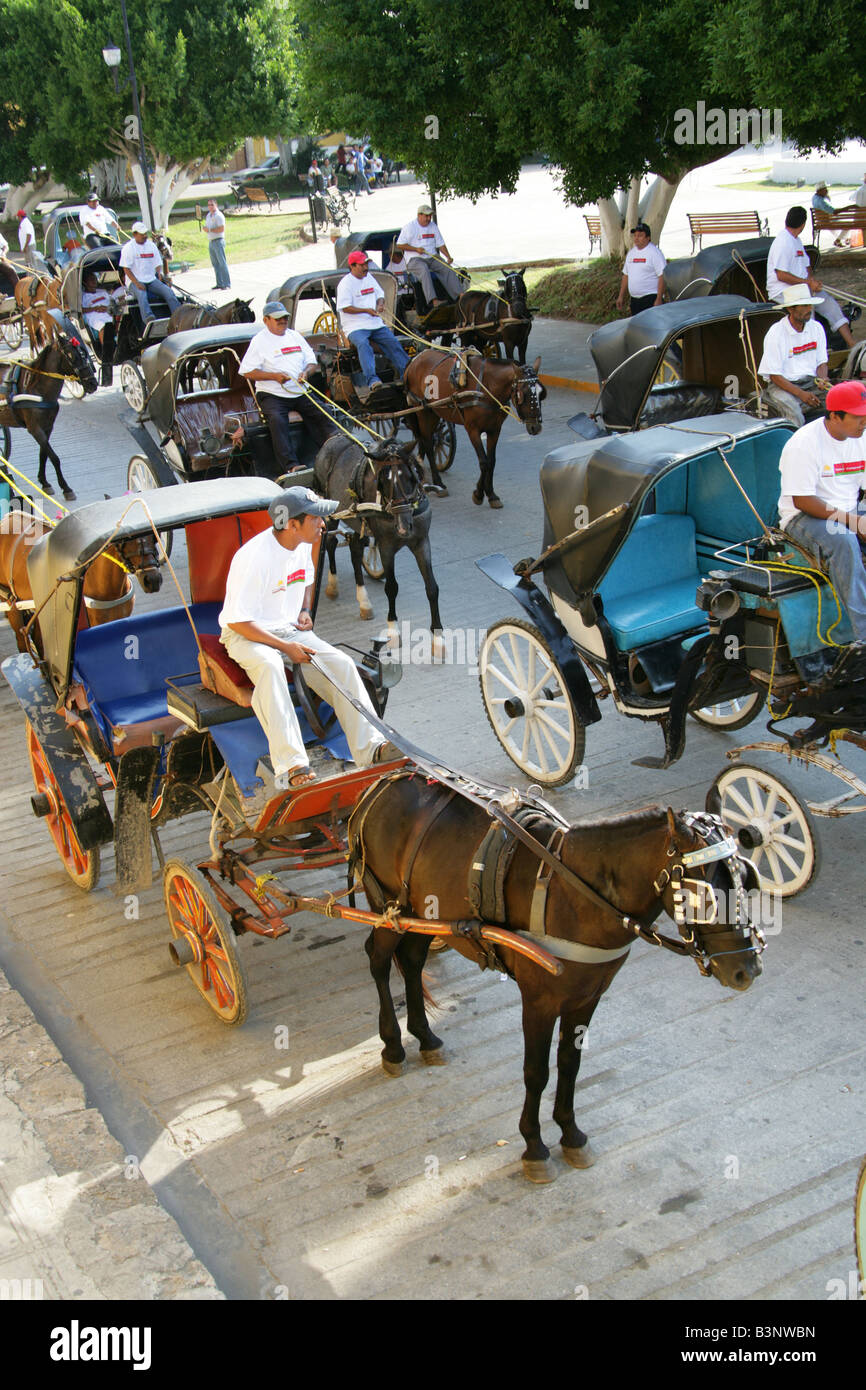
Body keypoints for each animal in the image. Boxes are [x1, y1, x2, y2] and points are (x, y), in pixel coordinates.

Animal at [0, 312, 97, 503]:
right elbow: (54, 456)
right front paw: (66, 488)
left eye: (84, 352)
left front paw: (44, 482)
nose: (92, 383)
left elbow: (43, 454)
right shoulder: (34, 428)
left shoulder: (47, 426)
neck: (35, 387)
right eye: (71, 355)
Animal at [0, 508, 164, 653]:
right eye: (123, 540)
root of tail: (7, 518)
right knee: (21, 639)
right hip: (11, 603)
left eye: (154, 534)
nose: (152, 579)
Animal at [312, 436, 444, 653]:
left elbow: (432, 587)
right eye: (384, 481)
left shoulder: (422, 543)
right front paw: (393, 631)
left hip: (358, 521)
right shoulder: (386, 546)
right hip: (330, 514)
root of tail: (332, 439)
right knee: (330, 543)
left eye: (411, 477)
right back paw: (333, 585)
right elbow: (391, 587)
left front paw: (438, 638)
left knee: (356, 551)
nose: (403, 528)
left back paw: (364, 602)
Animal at [348, 778, 761, 1178]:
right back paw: (393, 1045)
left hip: (423, 914)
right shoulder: (540, 1000)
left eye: (747, 878)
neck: (577, 895)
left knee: (412, 961)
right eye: (704, 894)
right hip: (389, 907)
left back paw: (424, 1036)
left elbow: (569, 1064)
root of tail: (382, 783)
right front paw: (534, 1146)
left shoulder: (587, 996)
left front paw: (571, 1134)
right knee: (379, 961)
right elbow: (536, 1072)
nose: (746, 969)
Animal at [403, 347, 544, 511]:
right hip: (422, 410)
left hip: (434, 412)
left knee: (428, 440)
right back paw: (438, 483)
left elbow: (491, 461)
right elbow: (484, 462)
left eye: (541, 393)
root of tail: (416, 358)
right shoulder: (473, 430)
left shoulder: (494, 429)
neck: (487, 386)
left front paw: (491, 494)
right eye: (523, 393)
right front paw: (478, 494)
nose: (535, 426)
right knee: (427, 442)